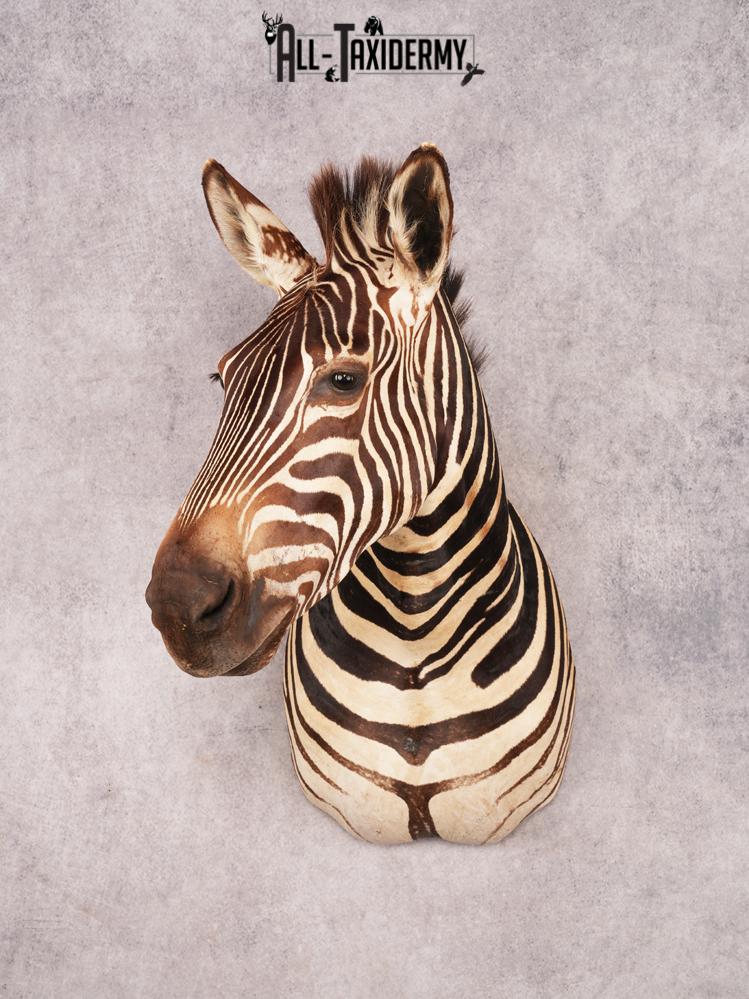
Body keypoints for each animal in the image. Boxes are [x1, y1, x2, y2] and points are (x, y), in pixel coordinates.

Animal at [145, 144, 576, 844]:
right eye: (222, 380)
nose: (178, 608)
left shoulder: (496, 814)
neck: (415, 635)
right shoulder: (354, 806)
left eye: (342, 381)